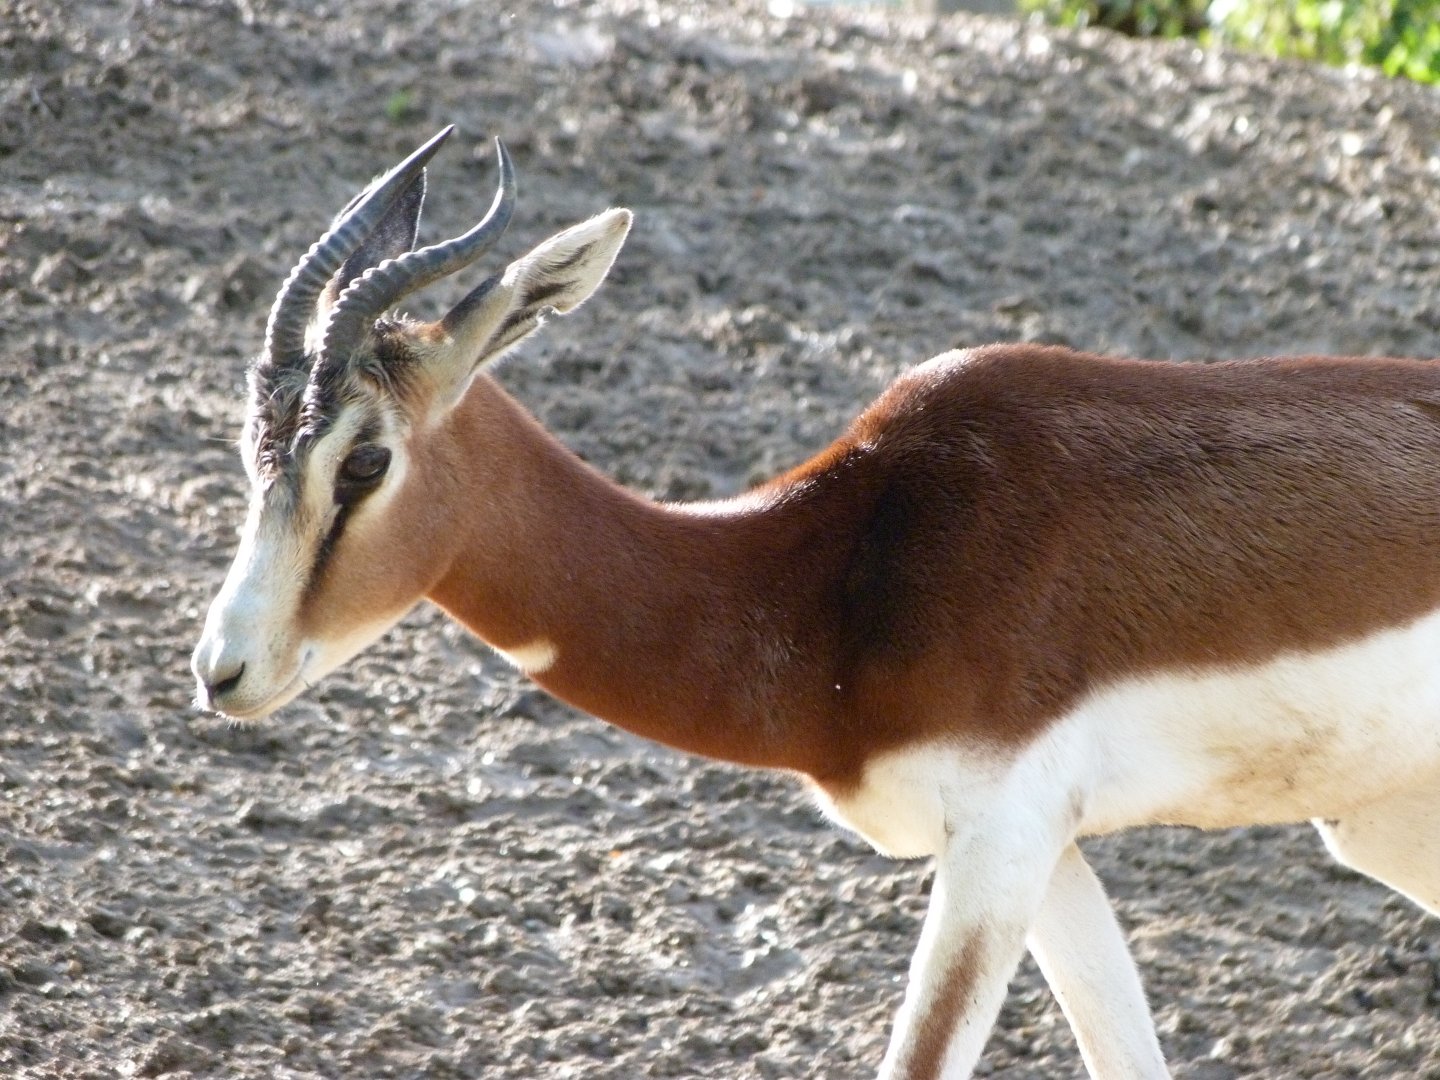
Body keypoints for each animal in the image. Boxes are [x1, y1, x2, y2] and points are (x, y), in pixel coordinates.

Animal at [192, 127, 1440, 1080]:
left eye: (364, 462)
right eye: (251, 445)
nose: (223, 669)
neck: (836, 568)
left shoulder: (1000, 839)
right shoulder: (1041, 853)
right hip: (1384, 827)